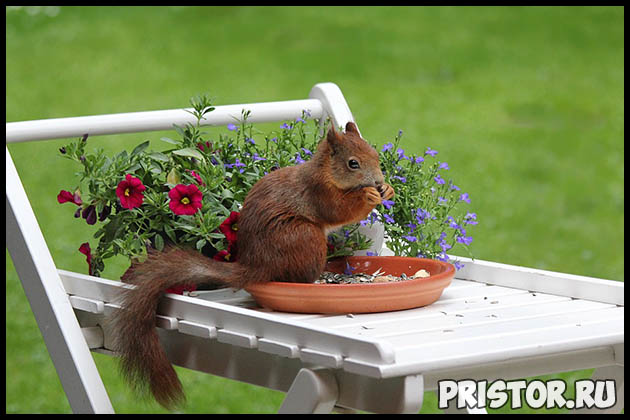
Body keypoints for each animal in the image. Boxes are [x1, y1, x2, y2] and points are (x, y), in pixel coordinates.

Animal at [108, 120, 396, 406]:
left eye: (375, 155)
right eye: (353, 164)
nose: (379, 181)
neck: (326, 173)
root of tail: (256, 266)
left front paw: (388, 190)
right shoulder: (319, 192)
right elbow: (339, 211)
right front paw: (368, 196)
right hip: (306, 236)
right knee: (297, 277)